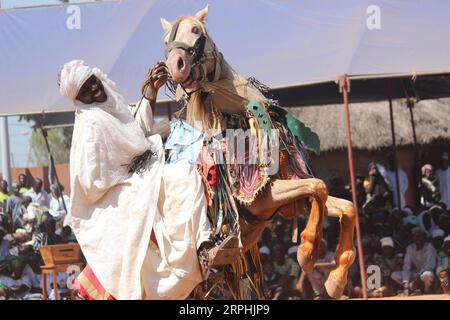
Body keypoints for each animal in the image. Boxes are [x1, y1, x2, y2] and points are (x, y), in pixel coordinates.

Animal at [160, 5, 356, 300]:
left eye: (196, 30)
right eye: (165, 42)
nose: (176, 66)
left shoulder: (291, 196)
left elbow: (343, 205)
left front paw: (336, 278)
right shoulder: (262, 199)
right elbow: (318, 187)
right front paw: (307, 251)